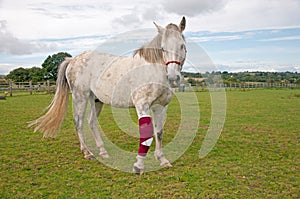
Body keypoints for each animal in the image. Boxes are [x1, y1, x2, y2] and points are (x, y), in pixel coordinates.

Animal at [29, 16, 186, 174]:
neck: (152, 69)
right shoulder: (142, 105)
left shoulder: (161, 107)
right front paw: (138, 166)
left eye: (182, 46)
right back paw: (87, 153)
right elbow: (146, 134)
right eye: (163, 48)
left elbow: (159, 132)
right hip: (80, 97)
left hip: (96, 100)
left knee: (91, 121)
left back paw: (102, 151)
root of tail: (73, 60)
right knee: (78, 122)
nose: (173, 78)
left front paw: (162, 160)